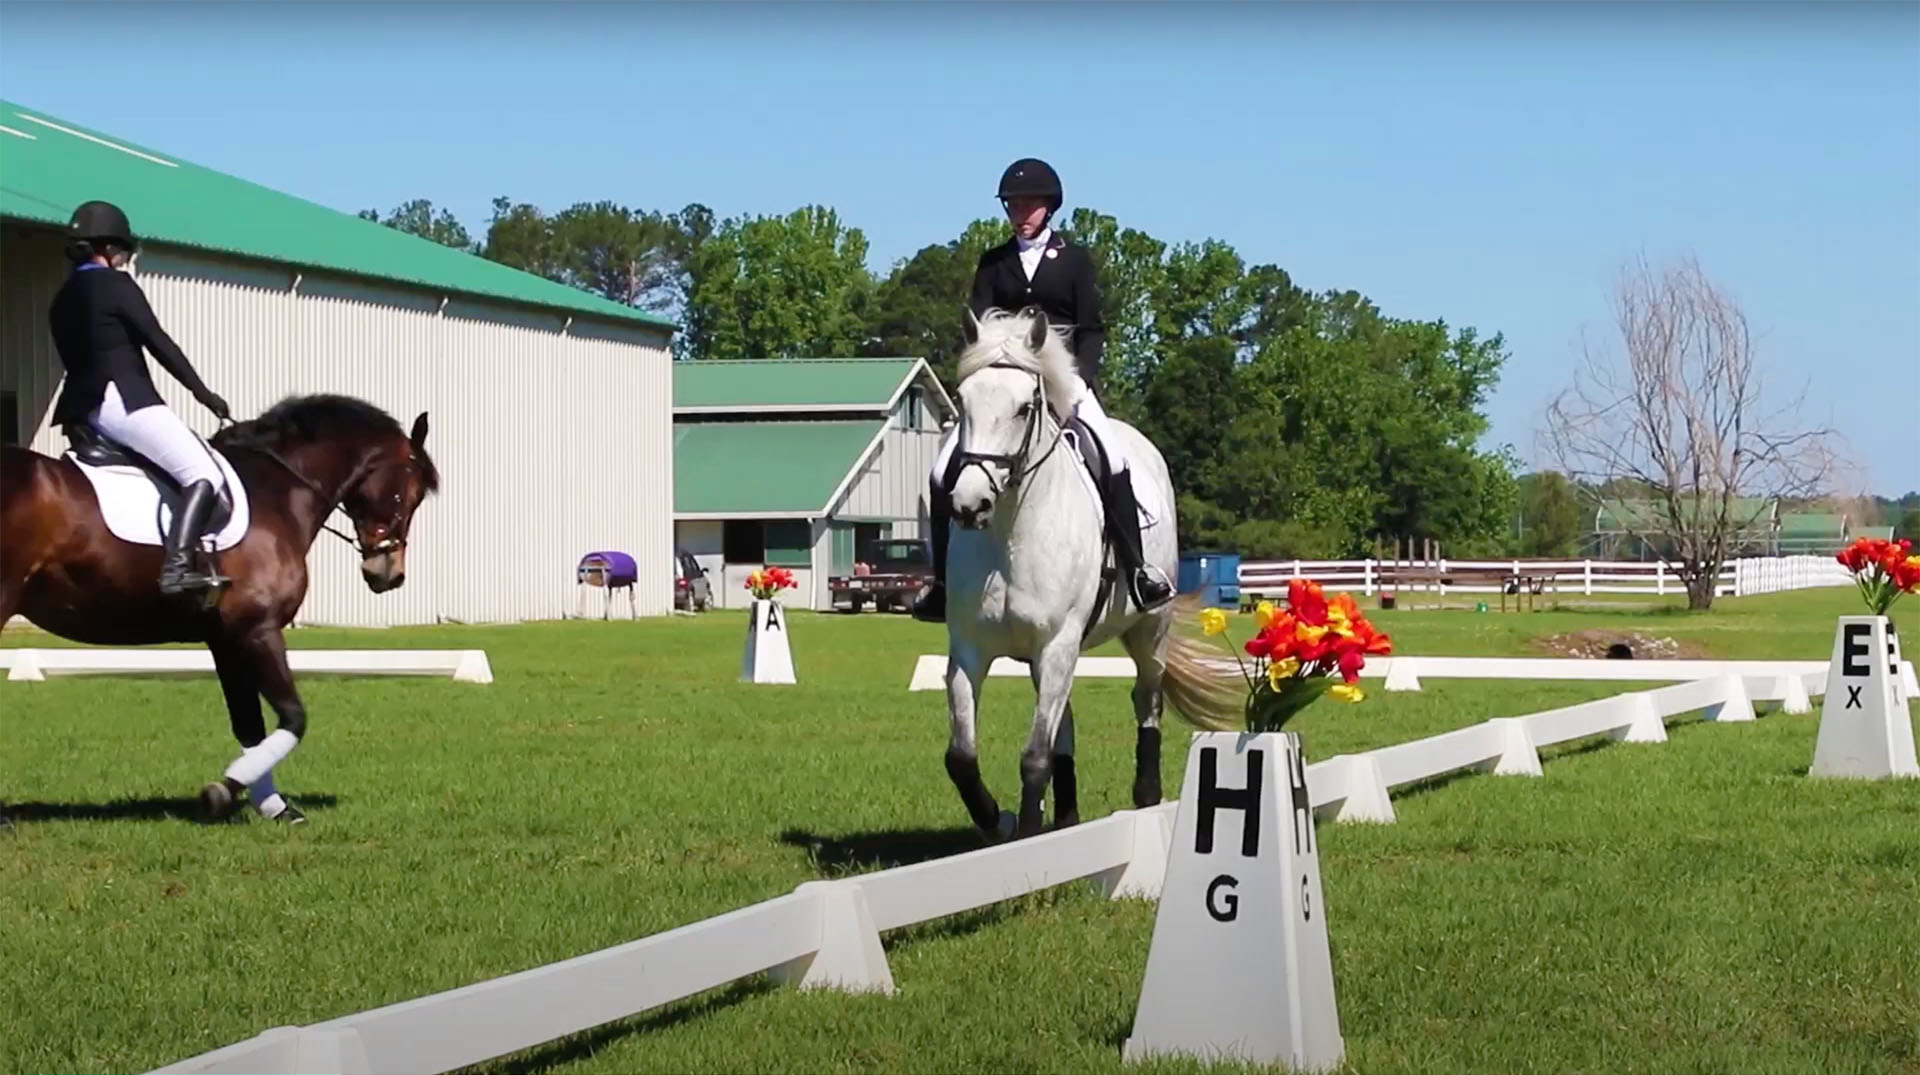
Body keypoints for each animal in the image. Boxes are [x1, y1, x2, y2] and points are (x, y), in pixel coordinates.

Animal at [0, 393, 439, 821]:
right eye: (409, 493)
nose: (388, 574)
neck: (275, 493)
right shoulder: (258, 630)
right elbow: (293, 717)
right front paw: (223, 790)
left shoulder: (225, 639)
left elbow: (250, 726)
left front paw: (274, 807)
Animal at [936, 303, 1236, 840]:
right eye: (963, 402)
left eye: (1024, 408)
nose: (970, 505)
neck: (1011, 536)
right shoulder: (972, 650)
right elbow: (962, 757)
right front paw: (998, 821)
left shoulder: (1057, 644)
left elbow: (1034, 757)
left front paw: (1025, 836)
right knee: (1066, 729)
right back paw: (1068, 818)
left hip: (1148, 632)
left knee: (1146, 702)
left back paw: (1146, 797)